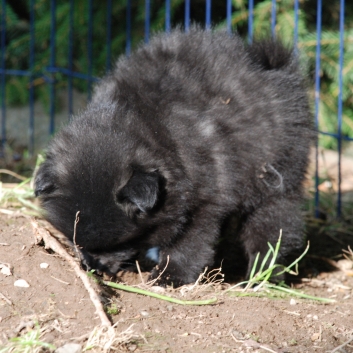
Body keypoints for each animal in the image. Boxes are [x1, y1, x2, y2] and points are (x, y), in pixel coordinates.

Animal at [34, 28, 312, 286]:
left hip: (275, 180)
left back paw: (261, 276)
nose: (92, 266)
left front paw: (169, 276)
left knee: (270, 230)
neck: (156, 131)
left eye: (118, 243)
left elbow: (189, 244)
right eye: (74, 241)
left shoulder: (206, 202)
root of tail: (272, 69)